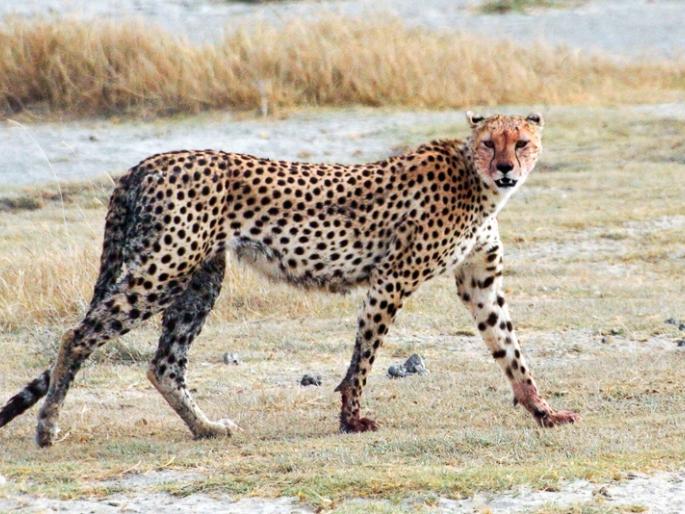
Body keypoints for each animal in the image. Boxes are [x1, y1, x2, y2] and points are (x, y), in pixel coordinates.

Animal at [0, 111, 579, 447]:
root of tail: (146, 162)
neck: (476, 182)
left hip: (200, 278)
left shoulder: (478, 281)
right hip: (164, 269)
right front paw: (351, 419)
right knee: (77, 335)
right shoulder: (390, 279)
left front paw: (542, 410)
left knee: (164, 364)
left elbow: (510, 349)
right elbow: (363, 356)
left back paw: (206, 428)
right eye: (489, 143)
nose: (506, 168)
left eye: (521, 142)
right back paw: (47, 426)